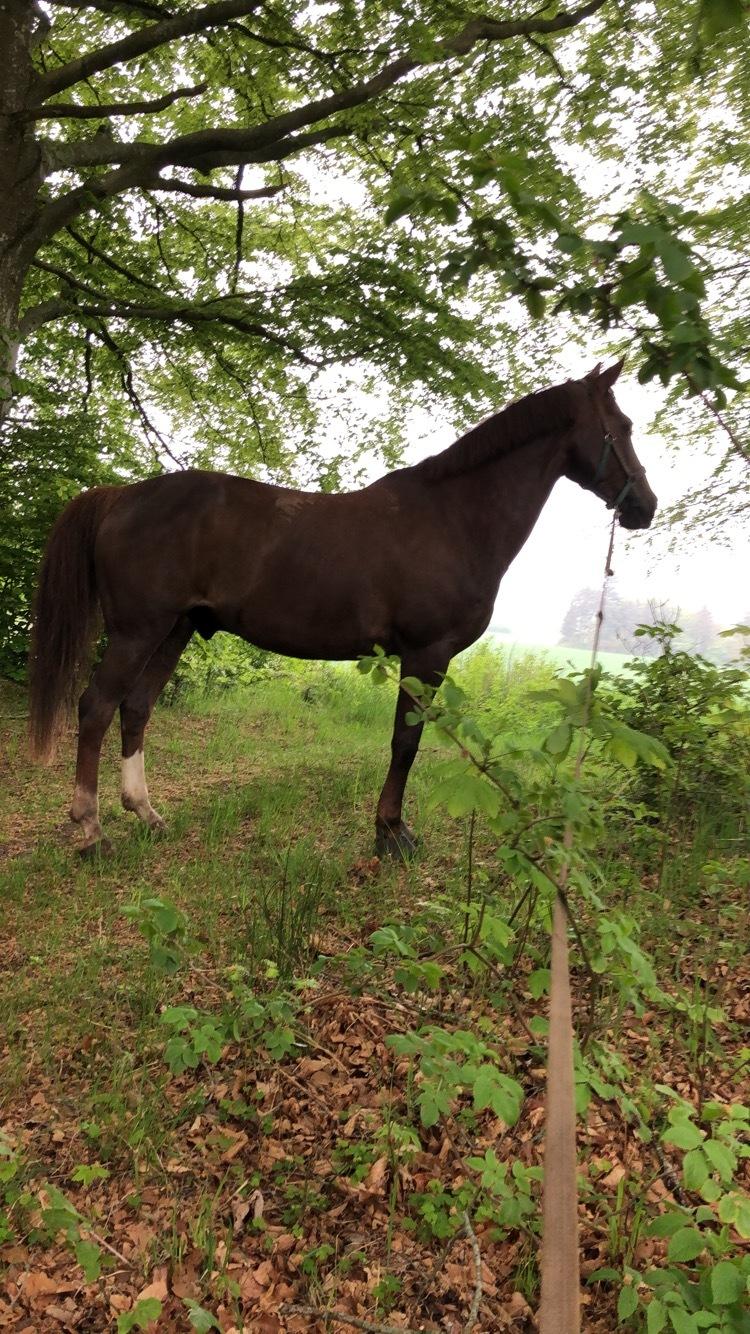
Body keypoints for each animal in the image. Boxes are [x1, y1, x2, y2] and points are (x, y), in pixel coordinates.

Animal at [27, 360, 653, 853]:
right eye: (621, 427)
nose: (644, 506)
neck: (453, 518)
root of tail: (121, 495)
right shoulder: (426, 656)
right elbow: (405, 742)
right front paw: (391, 833)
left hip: (174, 630)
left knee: (135, 709)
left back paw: (147, 814)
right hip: (138, 630)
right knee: (96, 707)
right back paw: (90, 830)